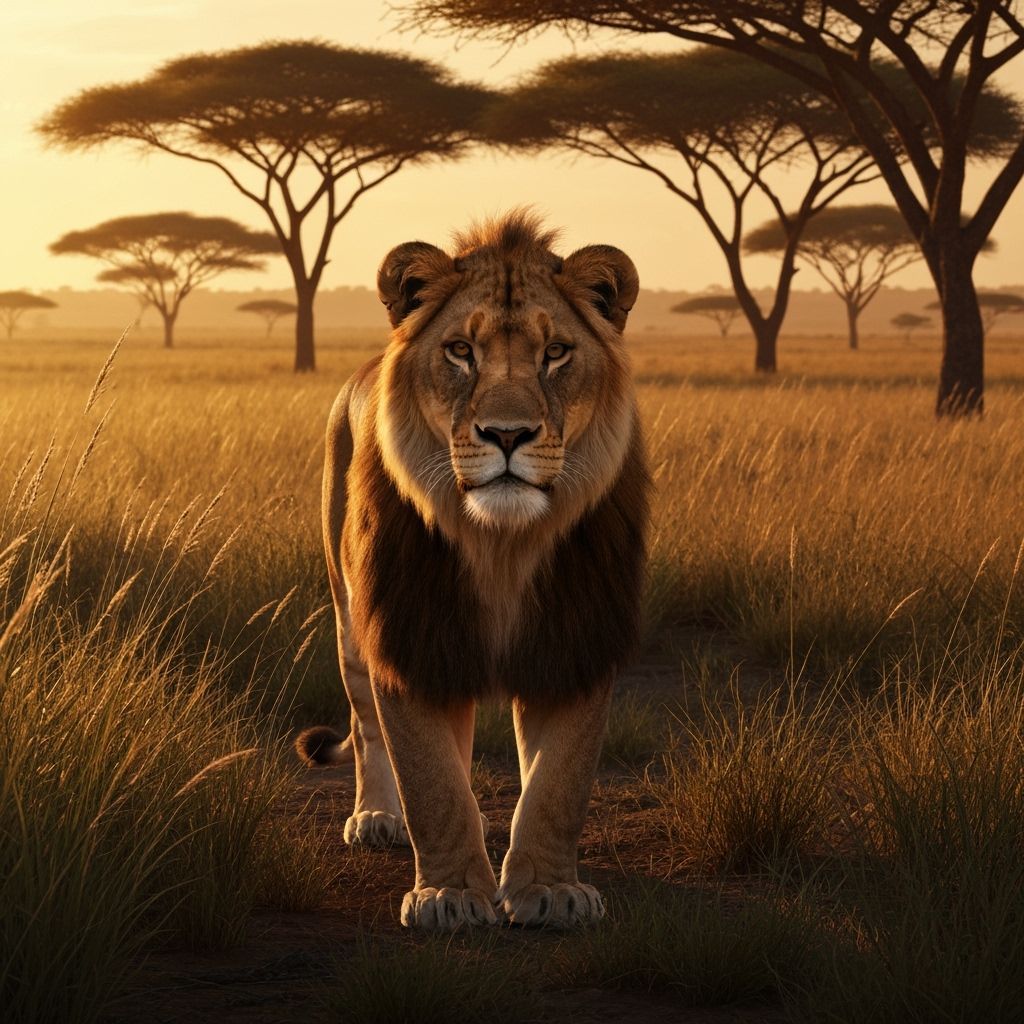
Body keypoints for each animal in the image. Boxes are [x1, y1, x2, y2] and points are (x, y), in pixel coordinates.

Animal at [296, 210, 650, 931]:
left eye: (556, 353)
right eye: (461, 351)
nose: (507, 435)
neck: (502, 544)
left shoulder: (577, 638)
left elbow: (558, 783)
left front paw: (550, 890)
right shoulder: (407, 635)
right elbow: (429, 781)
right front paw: (451, 897)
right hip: (350, 622)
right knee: (365, 727)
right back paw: (377, 817)